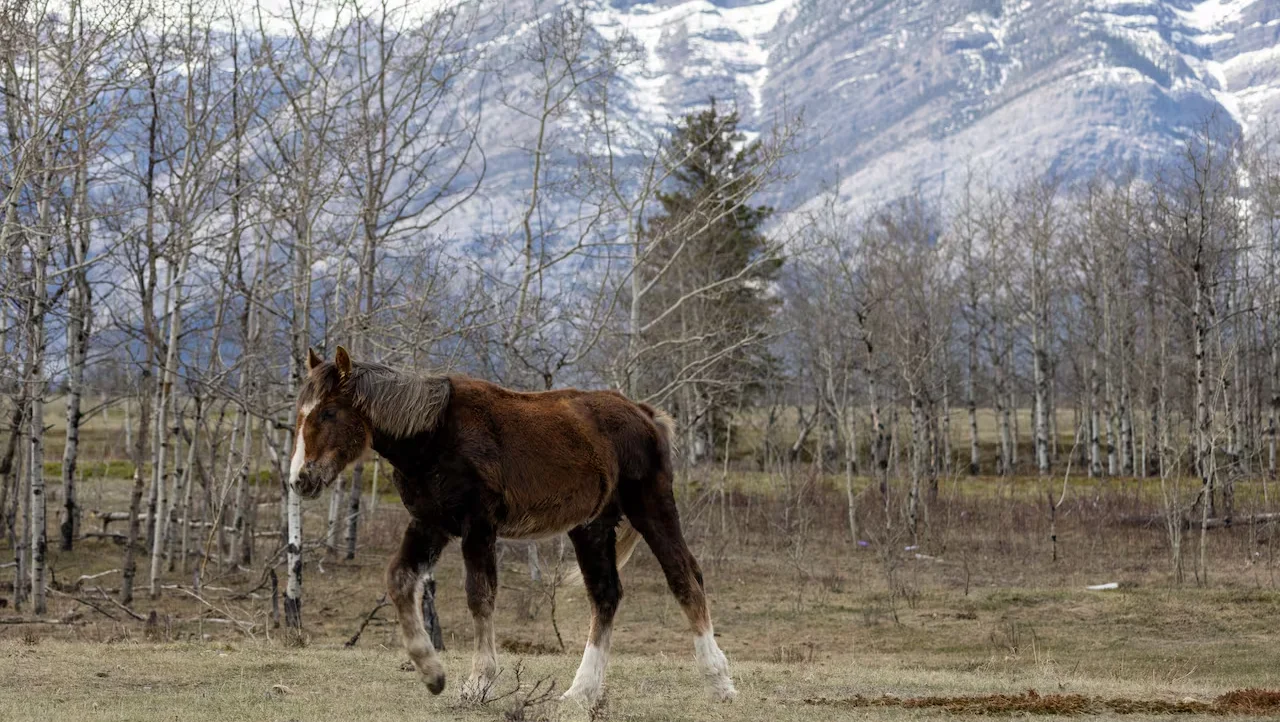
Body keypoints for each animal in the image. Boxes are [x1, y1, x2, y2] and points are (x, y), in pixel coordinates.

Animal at [288, 346, 736, 708]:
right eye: (300, 413)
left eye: (328, 412)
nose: (299, 480)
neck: (434, 434)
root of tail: (645, 413)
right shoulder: (431, 523)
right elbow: (398, 580)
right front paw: (432, 673)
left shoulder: (478, 526)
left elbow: (479, 596)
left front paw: (478, 683)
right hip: (591, 527)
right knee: (606, 596)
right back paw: (580, 692)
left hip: (651, 507)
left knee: (684, 579)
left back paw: (719, 682)